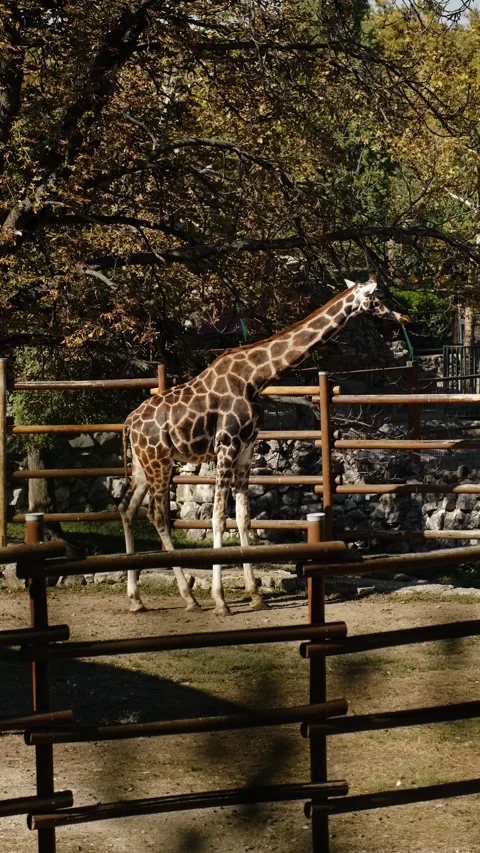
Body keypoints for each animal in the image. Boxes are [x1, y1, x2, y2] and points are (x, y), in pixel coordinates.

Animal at [119, 275, 409, 615]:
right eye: (379, 297)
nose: (404, 317)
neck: (256, 378)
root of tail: (129, 423)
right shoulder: (226, 446)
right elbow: (219, 518)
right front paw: (221, 600)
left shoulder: (246, 450)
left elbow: (244, 519)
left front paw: (256, 594)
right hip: (160, 460)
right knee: (157, 515)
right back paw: (190, 598)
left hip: (143, 465)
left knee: (127, 510)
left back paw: (136, 600)